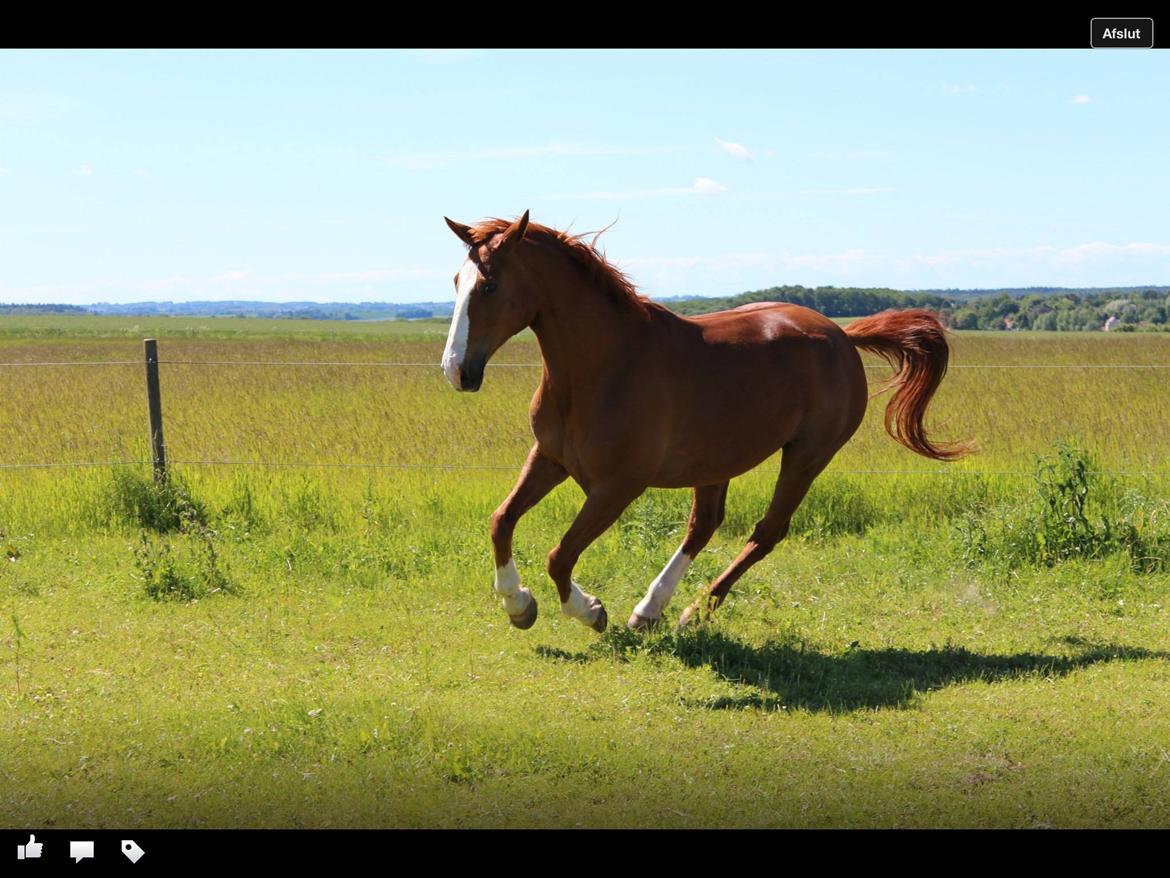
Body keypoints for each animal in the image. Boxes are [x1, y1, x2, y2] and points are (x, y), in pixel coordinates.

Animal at [439, 213, 968, 641]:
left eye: (489, 286)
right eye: (457, 280)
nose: (456, 370)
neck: (606, 366)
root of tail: (841, 335)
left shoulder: (618, 486)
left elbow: (560, 555)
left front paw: (590, 611)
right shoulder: (550, 458)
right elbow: (501, 521)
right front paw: (519, 605)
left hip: (807, 456)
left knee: (766, 532)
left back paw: (691, 612)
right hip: (716, 462)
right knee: (704, 525)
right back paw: (649, 611)